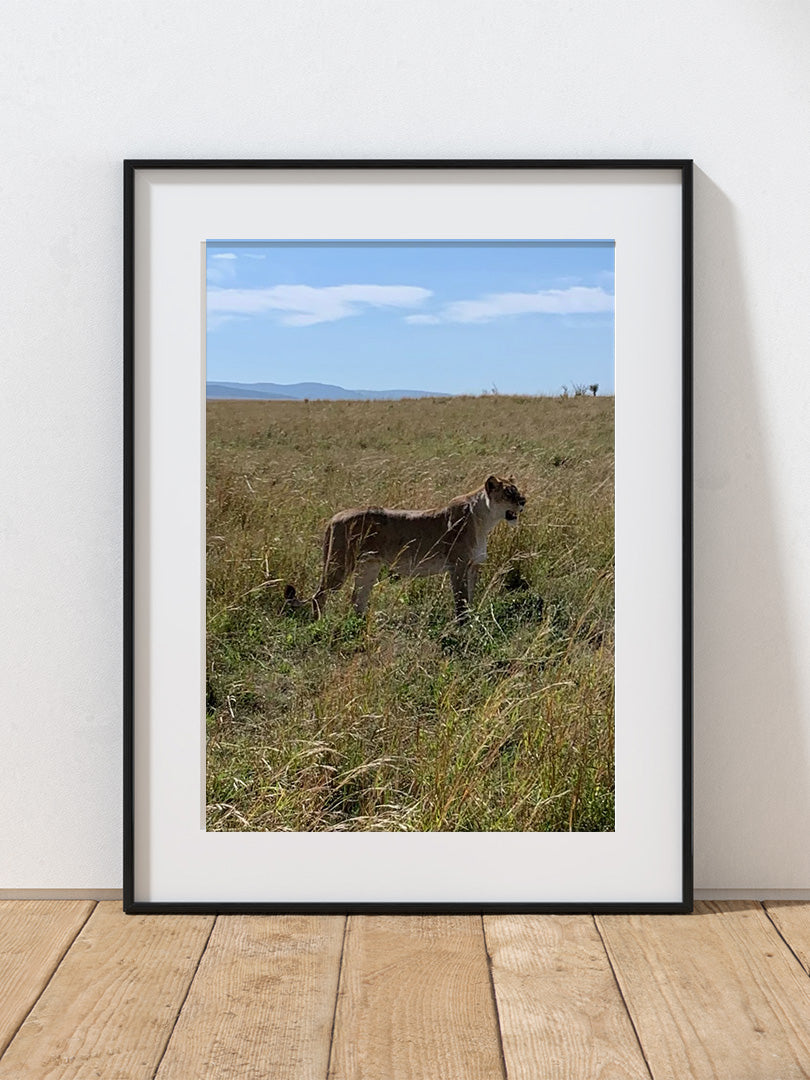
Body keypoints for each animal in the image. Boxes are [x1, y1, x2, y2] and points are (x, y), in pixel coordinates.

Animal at [284, 475, 526, 619]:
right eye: (509, 493)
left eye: (517, 490)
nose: (524, 501)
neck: (486, 521)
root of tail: (333, 518)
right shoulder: (457, 565)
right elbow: (461, 599)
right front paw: (463, 625)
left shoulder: (474, 566)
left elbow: (471, 596)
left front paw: (472, 618)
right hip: (340, 565)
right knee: (319, 596)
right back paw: (319, 624)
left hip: (369, 565)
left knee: (357, 598)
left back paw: (360, 625)